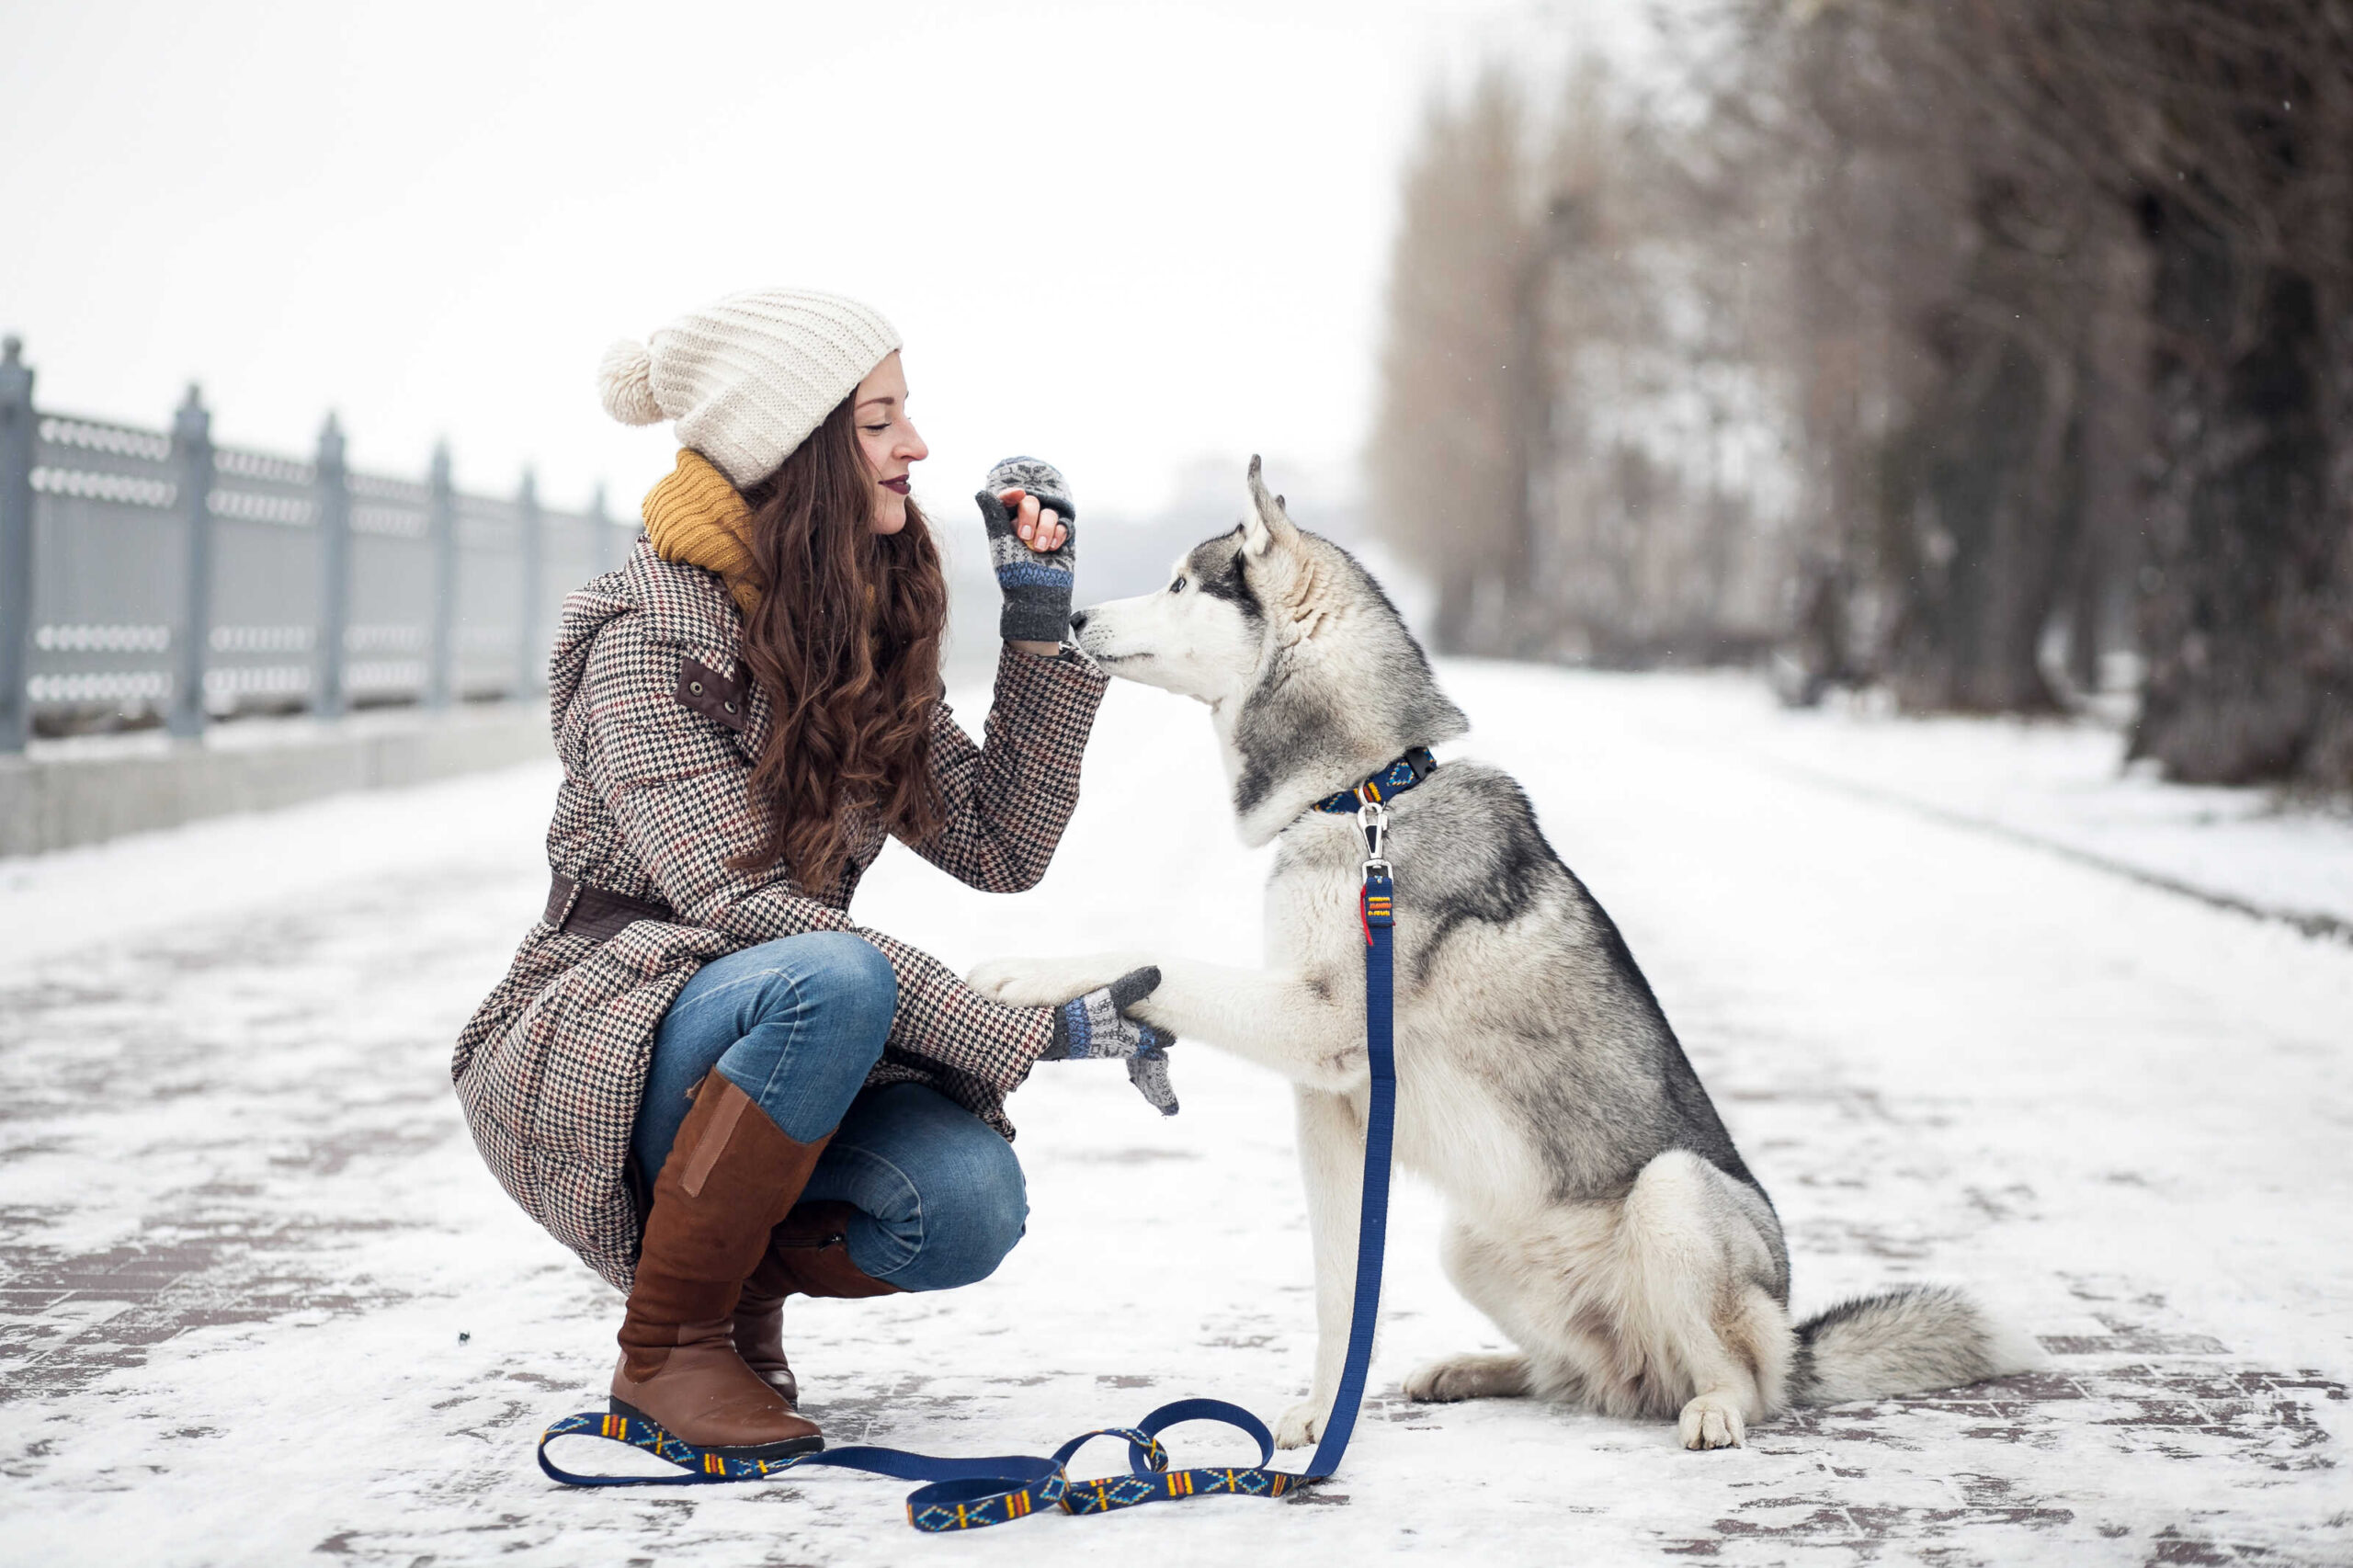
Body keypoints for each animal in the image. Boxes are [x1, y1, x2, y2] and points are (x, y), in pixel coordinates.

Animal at [973, 451, 2042, 1440]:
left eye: (1181, 584)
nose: (1075, 621)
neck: (1363, 794)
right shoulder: (1329, 1104)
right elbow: (1337, 1286)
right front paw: (1324, 1414)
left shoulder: (1319, 1023)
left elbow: (1154, 953)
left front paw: (1021, 968)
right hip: (1470, 1244)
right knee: (1576, 1375)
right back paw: (1474, 1369)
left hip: (1674, 1196)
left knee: (1739, 1378)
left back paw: (1712, 1410)